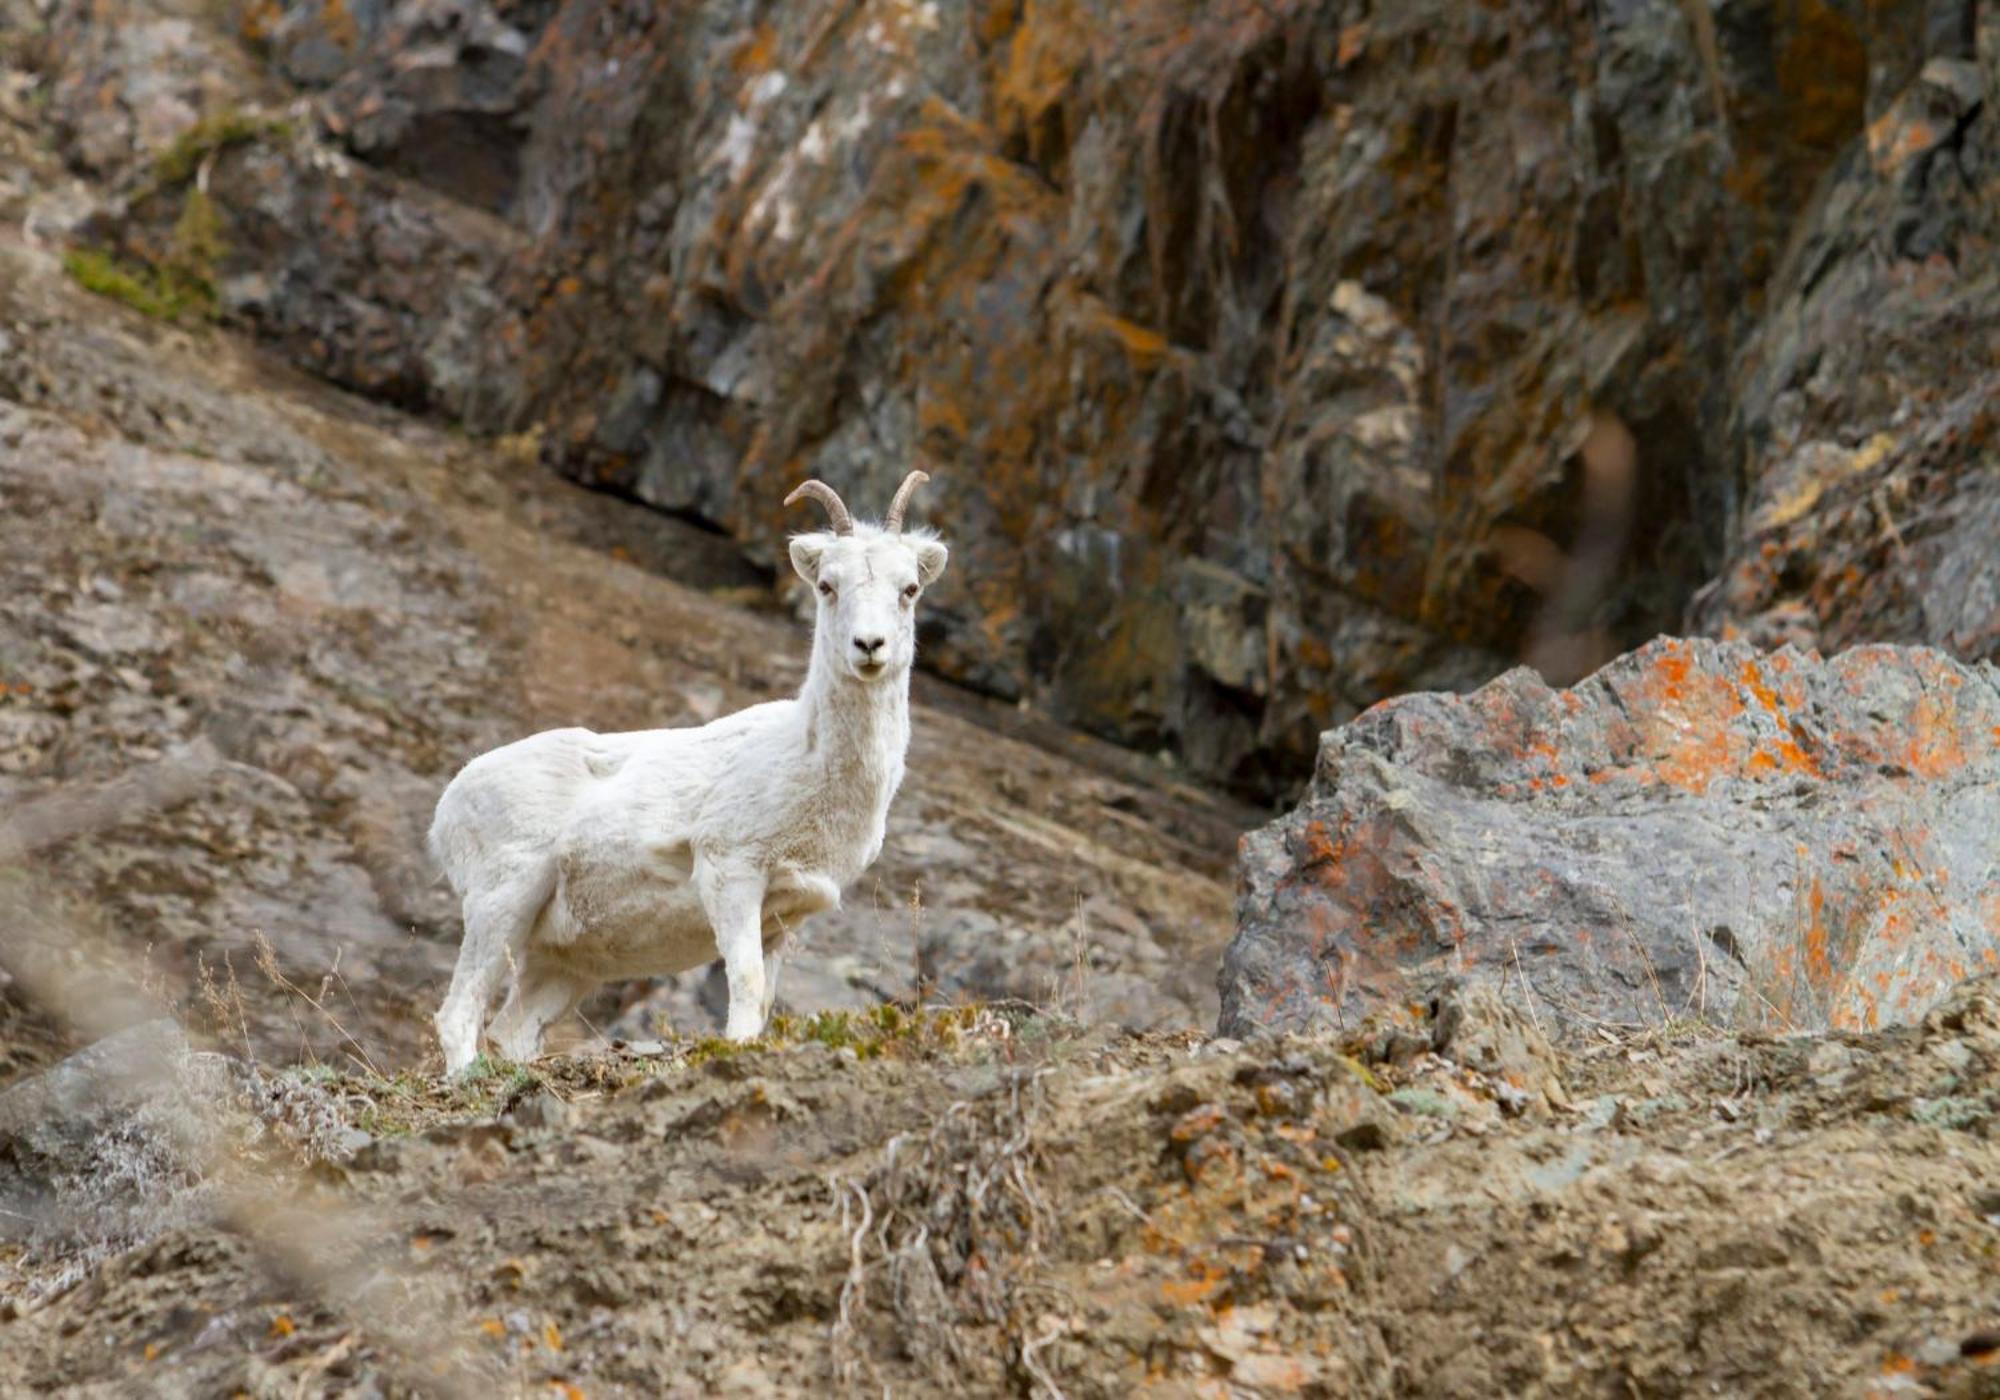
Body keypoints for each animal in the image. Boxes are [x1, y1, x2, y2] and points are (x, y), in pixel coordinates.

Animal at [430, 470, 944, 1072]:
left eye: (909, 589)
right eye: (827, 586)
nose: (869, 647)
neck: (805, 766)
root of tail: (448, 808)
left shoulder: (784, 917)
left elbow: (763, 998)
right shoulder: (730, 875)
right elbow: (744, 983)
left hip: (563, 963)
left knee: (511, 1032)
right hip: (502, 904)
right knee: (459, 1015)